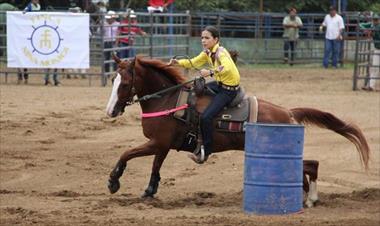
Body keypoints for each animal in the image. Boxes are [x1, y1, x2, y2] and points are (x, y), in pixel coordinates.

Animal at [105, 55, 370, 207]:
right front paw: (149, 191)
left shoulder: (156, 143)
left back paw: (311, 198)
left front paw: (113, 182)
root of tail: (288, 112)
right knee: (304, 169)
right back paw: (305, 198)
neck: (167, 100)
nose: (111, 111)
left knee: (311, 165)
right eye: (112, 80)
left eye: (125, 84)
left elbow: (126, 154)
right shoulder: (162, 144)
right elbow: (155, 167)